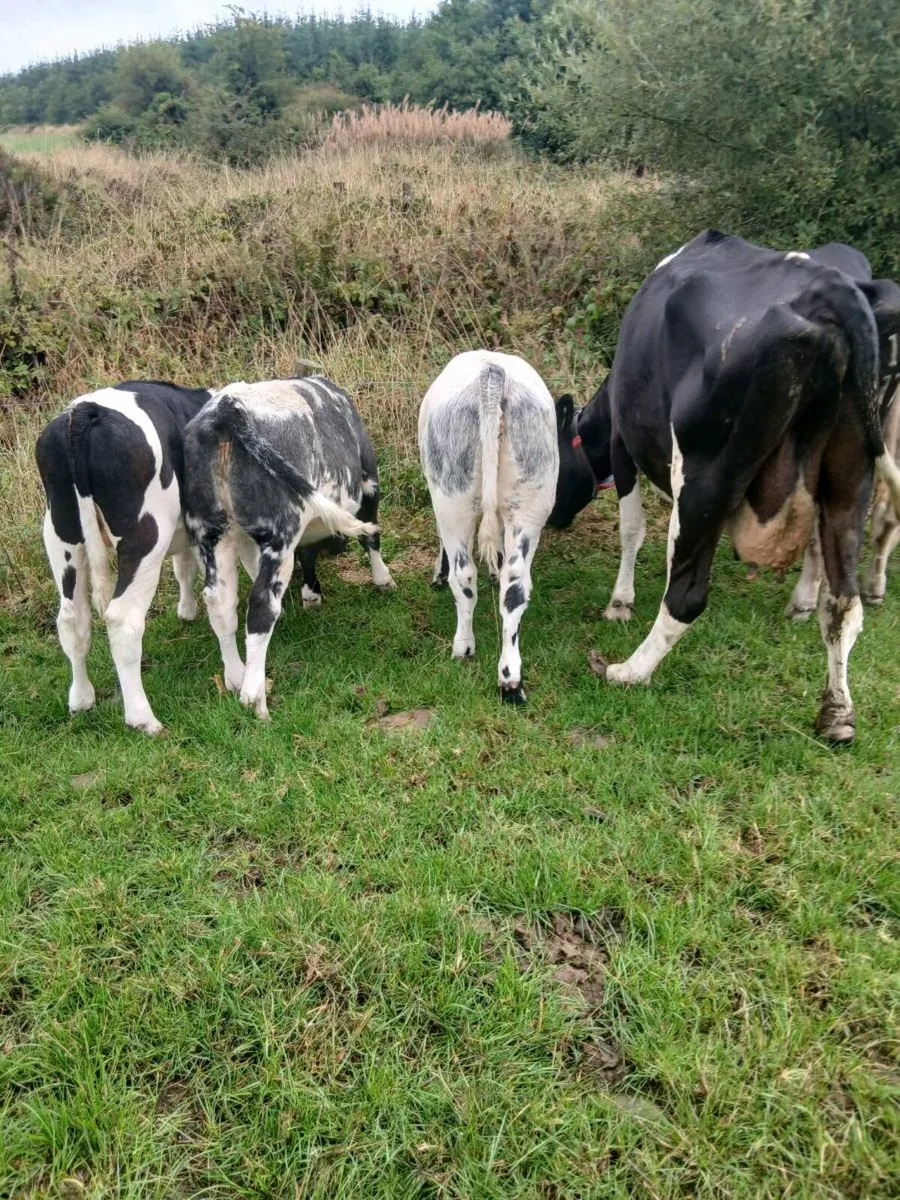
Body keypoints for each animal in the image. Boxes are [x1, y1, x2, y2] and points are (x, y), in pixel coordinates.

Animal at [35, 381, 213, 734]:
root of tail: (84, 412)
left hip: (60, 533)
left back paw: (81, 699)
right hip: (145, 533)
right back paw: (144, 719)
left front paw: (186, 611)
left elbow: (183, 567)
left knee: (72, 618)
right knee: (122, 619)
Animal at [183, 376, 392, 719]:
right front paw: (383, 578)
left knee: (218, 600)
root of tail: (228, 407)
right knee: (261, 602)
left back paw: (235, 677)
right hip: (281, 530)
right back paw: (255, 698)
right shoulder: (369, 480)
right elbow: (370, 534)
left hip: (212, 531)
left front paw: (311, 594)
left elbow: (306, 554)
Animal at [418, 350, 559, 703]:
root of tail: (492, 372)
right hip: (531, 498)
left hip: (451, 494)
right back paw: (510, 679)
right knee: (515, 583)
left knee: (464, 575)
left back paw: (463, 648)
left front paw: (437, 573)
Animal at [561, 230, 900, 742]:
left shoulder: (624, 444)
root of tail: (830, 286)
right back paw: (837, 712)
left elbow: (632, 530)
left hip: (707, 474)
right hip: (848, 475)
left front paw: (620, 604)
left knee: (686, 598)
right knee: (843, 600)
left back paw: (627, 671)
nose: (556, 521)